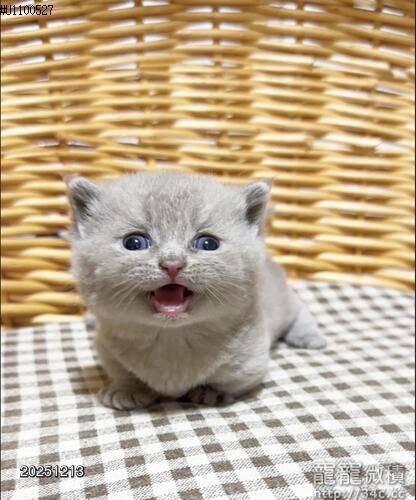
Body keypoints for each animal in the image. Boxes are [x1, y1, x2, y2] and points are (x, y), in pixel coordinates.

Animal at [67, 172, 327, 410]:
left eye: (207, 243)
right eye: (134, 242)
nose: (172, 263)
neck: (171, 338)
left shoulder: (251, 363)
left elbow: (230, 382)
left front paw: (210, 392)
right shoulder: (107, 350)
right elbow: (123, 373)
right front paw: (126, 390)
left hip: (284, 300)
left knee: (300, 308)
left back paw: (308, 336)